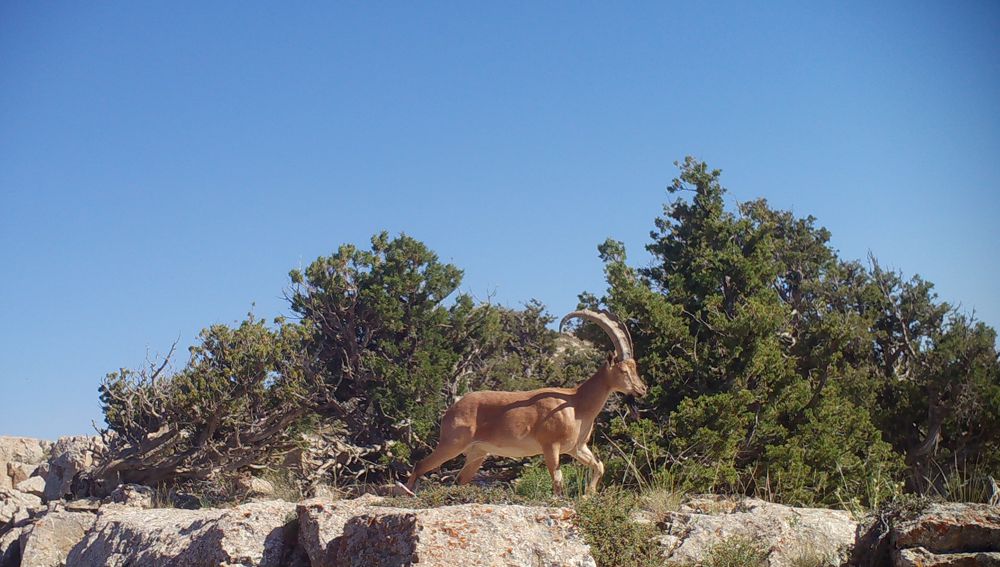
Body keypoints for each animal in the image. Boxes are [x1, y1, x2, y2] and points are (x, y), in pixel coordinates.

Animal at [402, 310, 644, 496]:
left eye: (635, 367)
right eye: (624, 370)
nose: (642, 389)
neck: (576, 405)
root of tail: (452, 409)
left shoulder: (577, 448)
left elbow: (599, 466)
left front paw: (589, 494)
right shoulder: (550, 446)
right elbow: (558, 480)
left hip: (477, 453)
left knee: (460, 479)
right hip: (452, 443)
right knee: (420, 465)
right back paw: (407, 493)